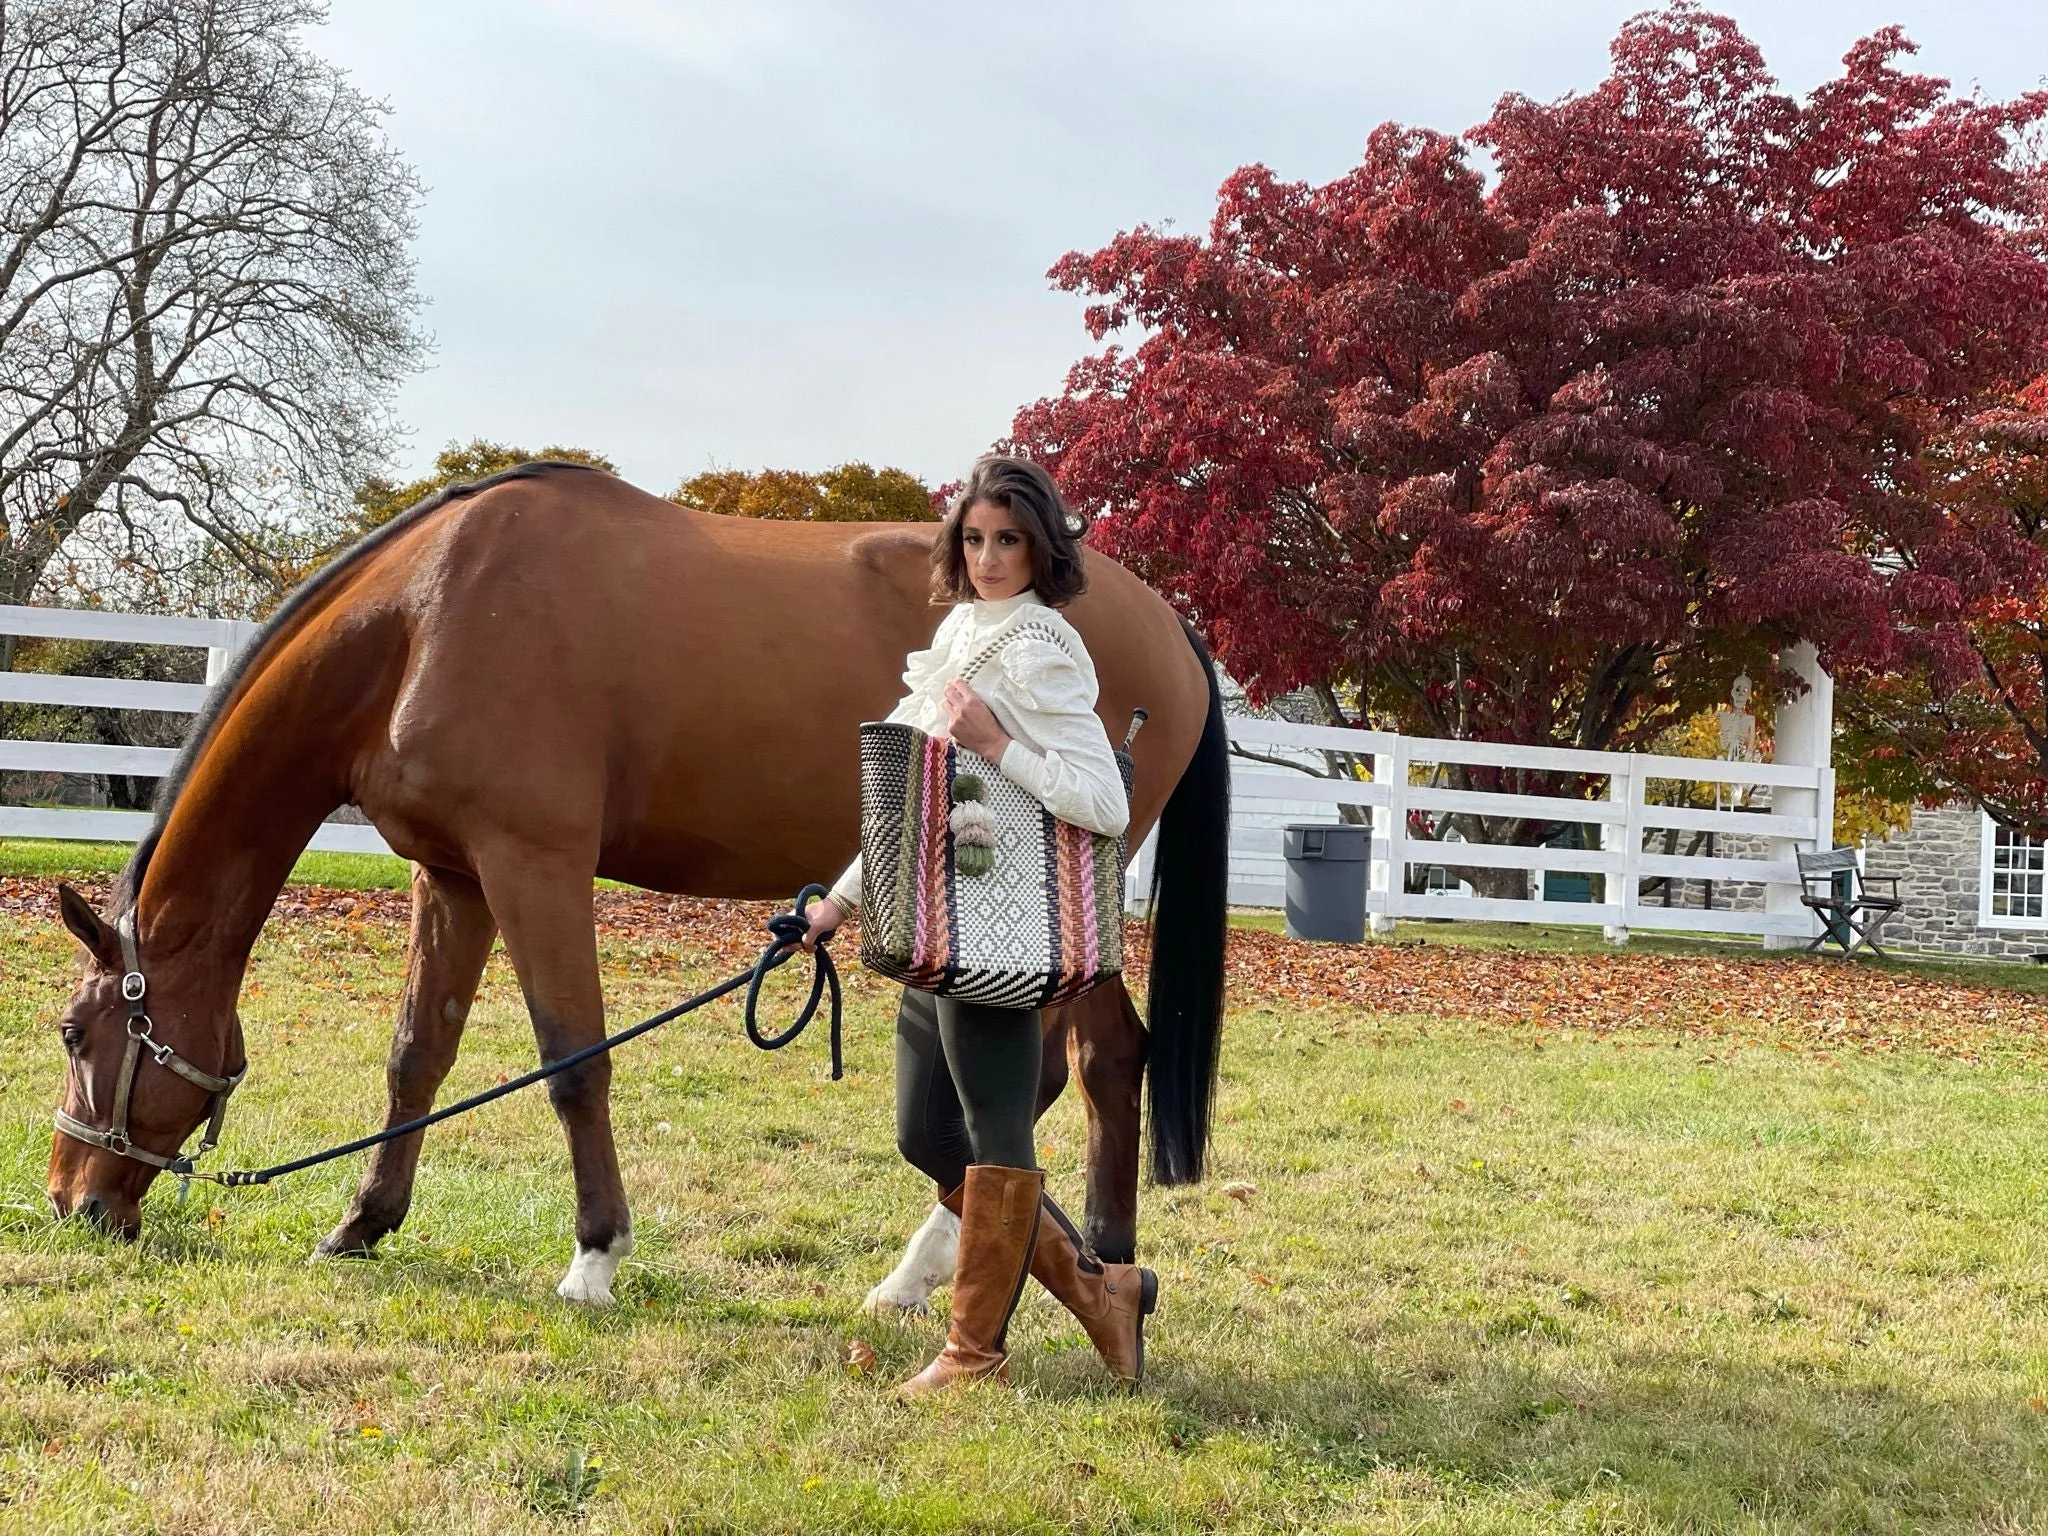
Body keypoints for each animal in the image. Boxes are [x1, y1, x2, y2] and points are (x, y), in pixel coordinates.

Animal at [48, 462, 1220, 1302]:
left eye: (72, 1032)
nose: (68, 1200)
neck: (426, 619)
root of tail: (1169, 620)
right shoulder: (454, 877)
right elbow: (416, 1056)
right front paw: (362, 1223)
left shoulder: (535, 866)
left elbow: (574, 1064)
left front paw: (595, 1255)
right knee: (1087, 1066)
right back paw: (1036, 1260)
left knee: (1068, 1071)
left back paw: (991, 1267)